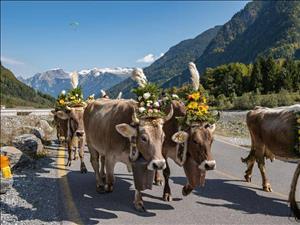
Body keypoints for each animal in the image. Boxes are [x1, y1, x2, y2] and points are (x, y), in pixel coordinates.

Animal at [84, 68, 173, 211]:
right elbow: (111, 179)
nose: (159, 164)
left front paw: (138, 202)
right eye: (143, 138)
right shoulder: (111, 156)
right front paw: (108, 186)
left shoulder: (139, 163)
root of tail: (90, 104)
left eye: (163, 137)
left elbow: (138, 184)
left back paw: (102, 177)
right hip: (90, 143)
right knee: (95, 162)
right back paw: (100, 184)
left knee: (101, 160)